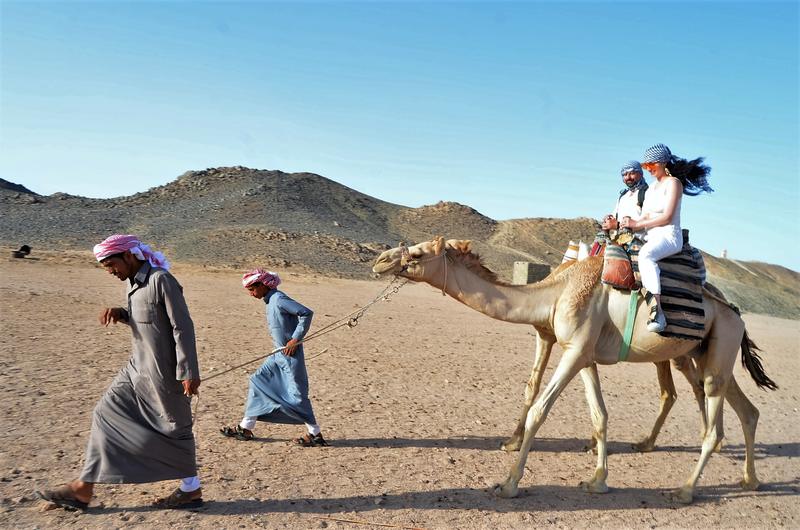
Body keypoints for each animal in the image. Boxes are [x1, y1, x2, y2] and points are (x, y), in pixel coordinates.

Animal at [372, 237, 776, 503]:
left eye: (419, 253)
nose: (380, 260)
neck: (554, 294)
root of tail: (736, 315)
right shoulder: (582, 356)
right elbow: (599, 415)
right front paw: (597, 480)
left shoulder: (575, 351)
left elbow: (539, 411)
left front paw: (508, 483)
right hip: (709, 356)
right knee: (747, 411)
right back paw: (749, 480)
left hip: (714, 353)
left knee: (712, 422)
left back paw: (686, 489)